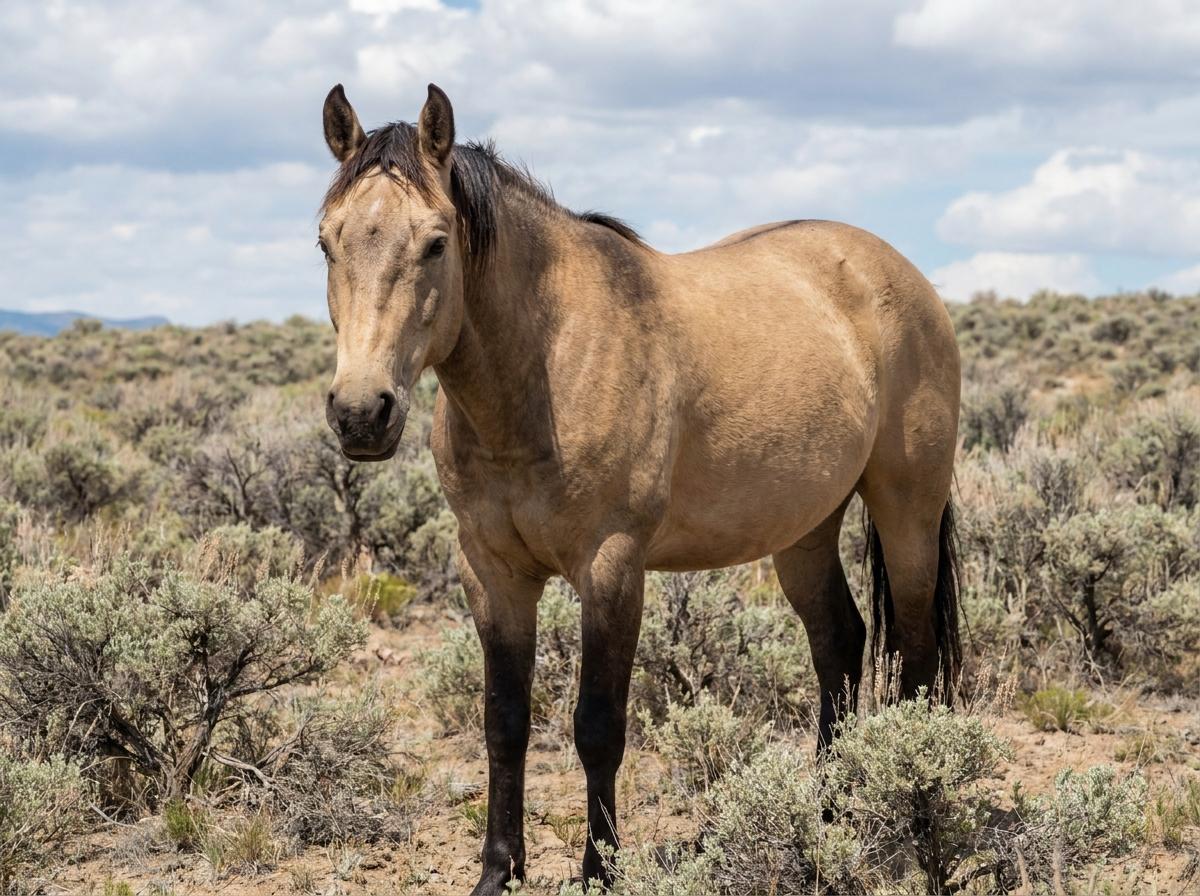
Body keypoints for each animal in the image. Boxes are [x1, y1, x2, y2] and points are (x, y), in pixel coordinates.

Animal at [318, 83, 961, 894]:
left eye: (436, 242)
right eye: (326, 241)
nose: (361, 413)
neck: (546, 368)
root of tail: (902, 276)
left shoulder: (612, 567)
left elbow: (597, 727)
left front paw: (600, 870)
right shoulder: (490, 571)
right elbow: (503, 721)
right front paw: (498, 871)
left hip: (908, 509)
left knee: (916, 655)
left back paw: (913, 812)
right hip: (805, 530)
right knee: (840, 645)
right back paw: (826, 813)